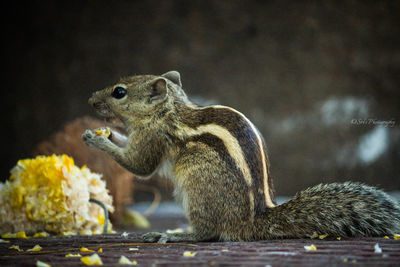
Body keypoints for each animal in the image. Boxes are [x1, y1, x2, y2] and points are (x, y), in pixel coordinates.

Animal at [83, 70, 400, 243]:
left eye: (119, 92)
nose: (91, 100)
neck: (169, 108)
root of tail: (251, 220)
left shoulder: (153, 137)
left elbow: (138, 165)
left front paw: (96, 139)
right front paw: (102, 133)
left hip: (197, 183)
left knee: (208, 232)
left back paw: (176, 234)